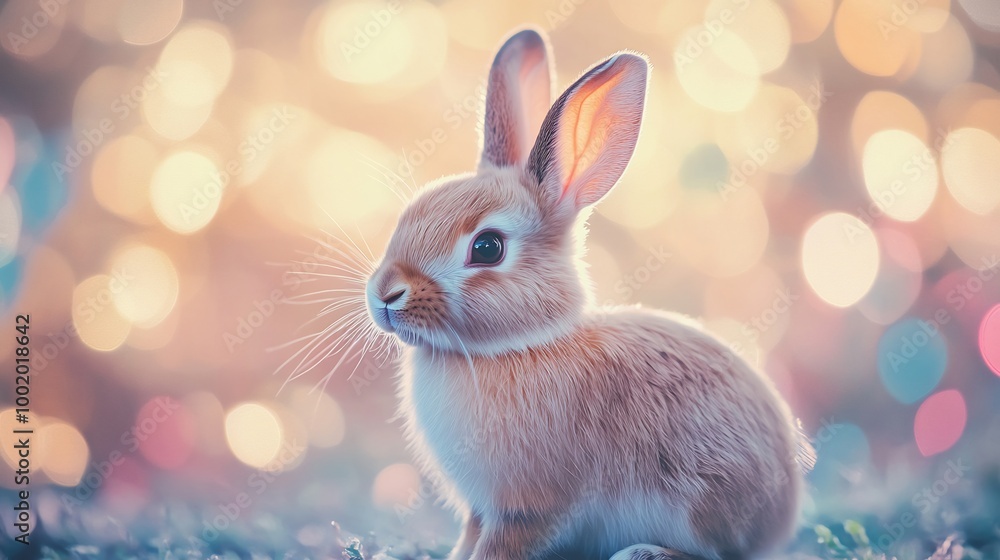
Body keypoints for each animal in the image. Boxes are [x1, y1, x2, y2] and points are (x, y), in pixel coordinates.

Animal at [364, 26, 808, 560]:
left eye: (487, 248)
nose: (385, 295)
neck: (519, 346)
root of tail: (780, 517)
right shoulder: (481, 509)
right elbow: (469, 538)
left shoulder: (529, 510)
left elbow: (499, 547)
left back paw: (644, 553)